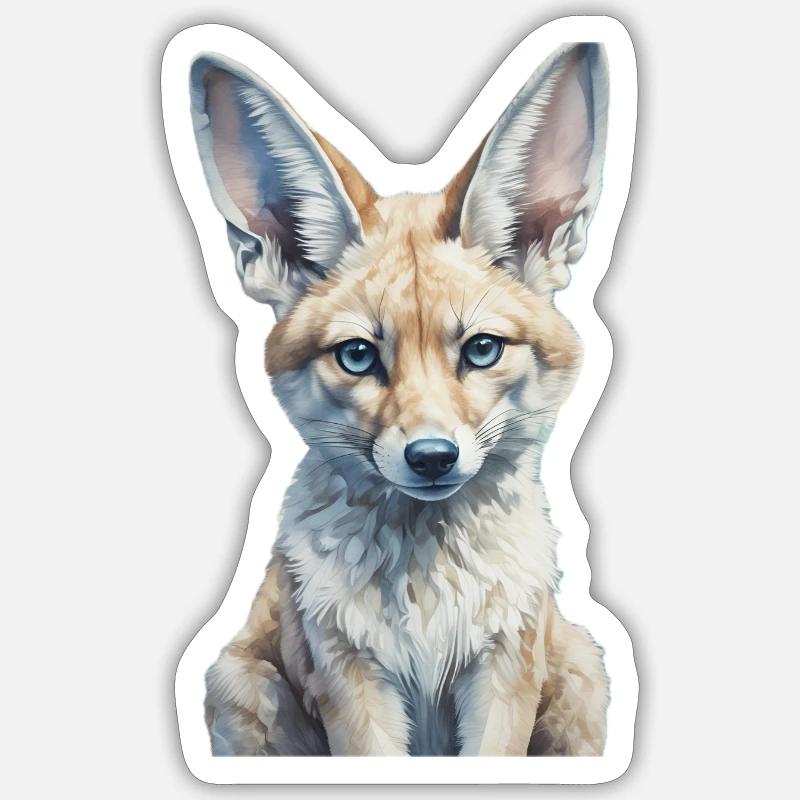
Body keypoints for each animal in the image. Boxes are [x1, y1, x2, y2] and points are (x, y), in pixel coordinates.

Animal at [188, 41, 611, 756]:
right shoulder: (349, 678)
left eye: (481, 349)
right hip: (237, 685)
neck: (428, 595)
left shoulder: (505, 670)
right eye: (359, 356)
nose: (432, 457)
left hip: (583, 673)